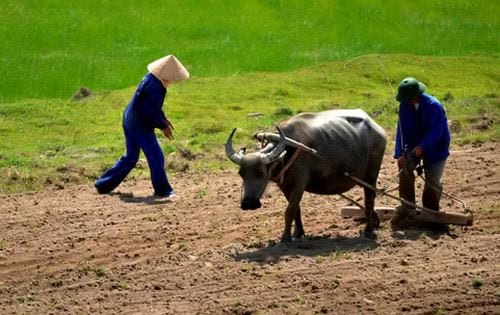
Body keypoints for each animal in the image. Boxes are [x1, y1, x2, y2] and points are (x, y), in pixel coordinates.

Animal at [226, 108, 386, 242]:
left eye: (260, 173)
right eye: (241, 174)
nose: (248, 204)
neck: (287, 151)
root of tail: (379, 130)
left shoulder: (300, 183)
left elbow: (289, 210)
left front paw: (285, 237)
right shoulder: (285, 186)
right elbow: (296, 209)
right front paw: (298, 233)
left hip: (371, 175)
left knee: (369, 199)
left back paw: (368, 230)